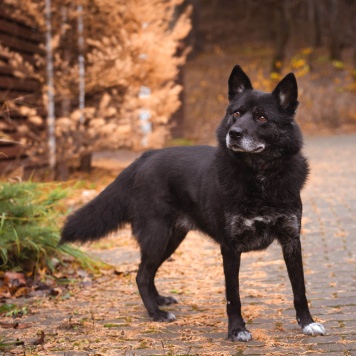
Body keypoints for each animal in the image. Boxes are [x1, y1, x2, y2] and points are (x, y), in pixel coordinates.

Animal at [61, 65, 326, 340]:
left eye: (262, 118)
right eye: (236, 114)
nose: (234, 133)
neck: (260, 178)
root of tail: (145, 157)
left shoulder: (291, 240)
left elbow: (300, 289)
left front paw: (307, 323)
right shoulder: (230, 248)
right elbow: (233, 296)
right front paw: (236, 330)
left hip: (171, 238)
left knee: (147, 271)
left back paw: (160, 301)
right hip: (157, 236)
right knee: (142, 275)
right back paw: (156, 313)